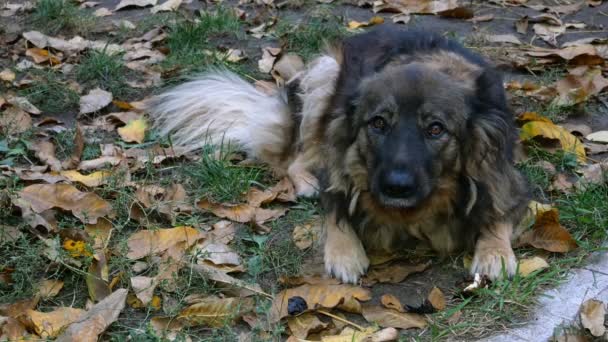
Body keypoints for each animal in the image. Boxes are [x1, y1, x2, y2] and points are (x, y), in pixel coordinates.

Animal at [146, 26, 528, 284]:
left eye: (436, 129)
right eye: (378, 123)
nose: (396, 188)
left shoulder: (506, 175)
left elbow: (498, 211)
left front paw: (494, 253)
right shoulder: (340, 167)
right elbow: (335, 208)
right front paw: (345, 252)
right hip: (325, 79)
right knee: (296, 158)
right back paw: (305, 181)